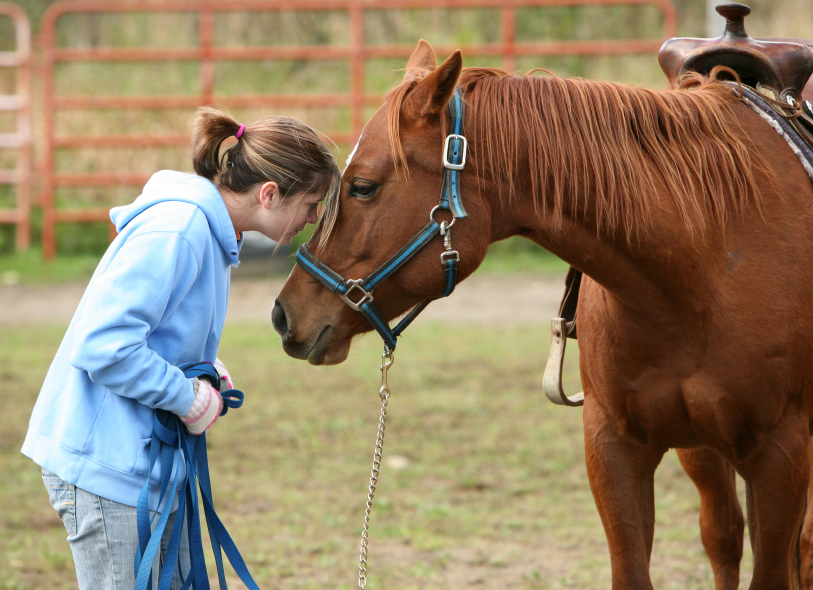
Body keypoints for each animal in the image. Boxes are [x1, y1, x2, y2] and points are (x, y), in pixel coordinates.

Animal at [272, 40, 813, 589]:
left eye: (362, 187)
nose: (283, 314)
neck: (702, 263)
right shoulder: (614, 449)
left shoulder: (781, 457)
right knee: (722, 533)